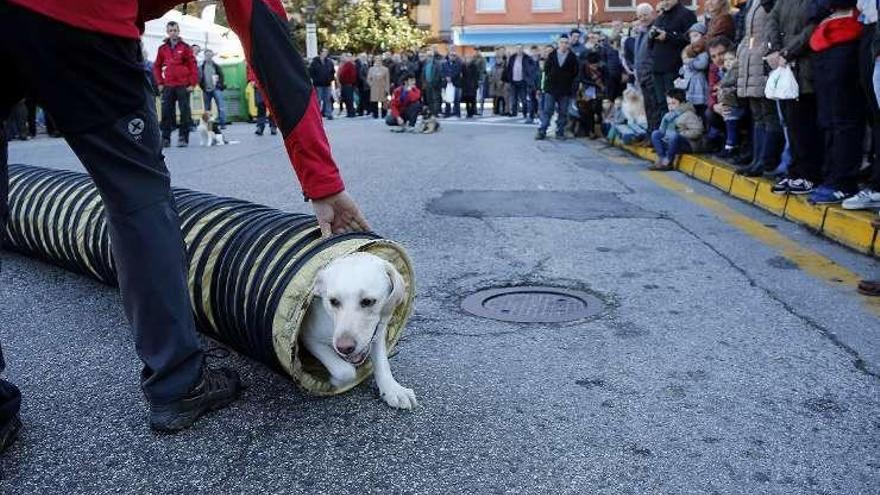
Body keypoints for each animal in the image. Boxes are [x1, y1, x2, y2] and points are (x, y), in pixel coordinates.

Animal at [300, 254, 418, 408]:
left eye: (368, 301)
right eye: (333, 301)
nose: (345, 348)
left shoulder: (378, 332)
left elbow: (382, 363)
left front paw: (392, 389)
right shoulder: (309, 338)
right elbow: (345, 371)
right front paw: (334, 381)